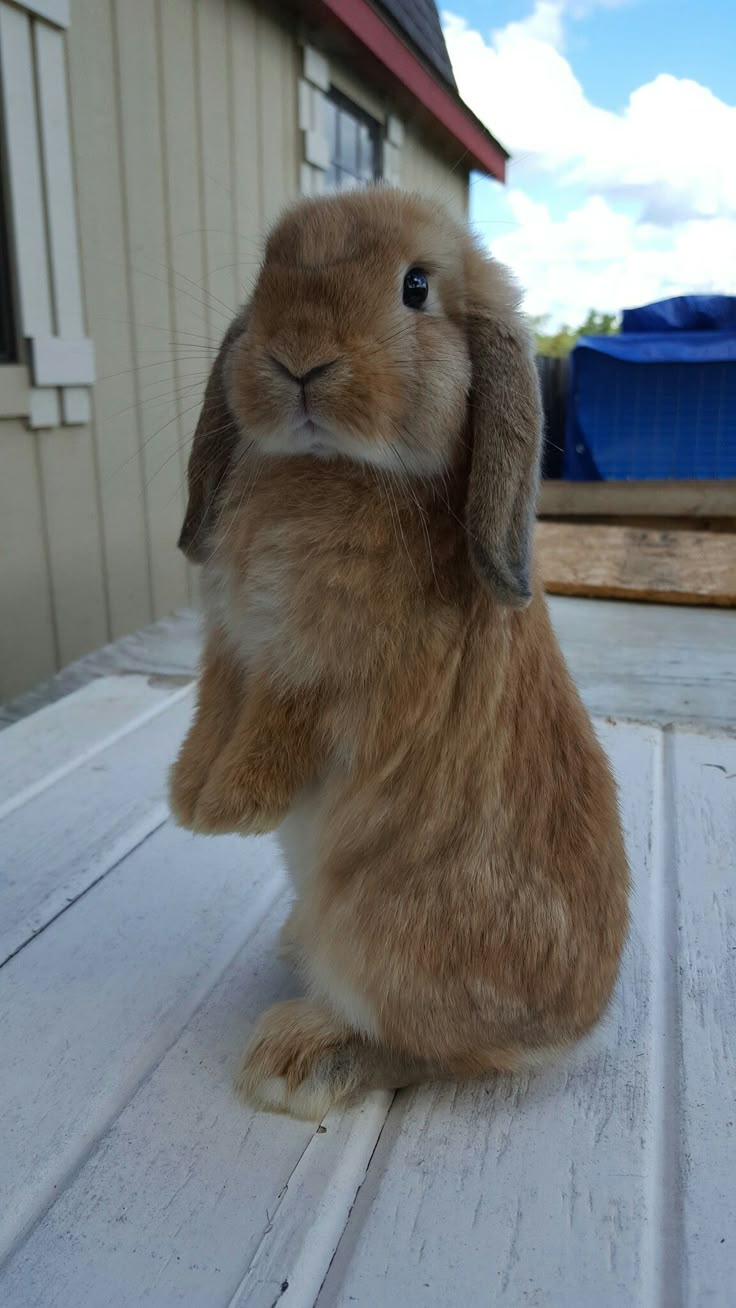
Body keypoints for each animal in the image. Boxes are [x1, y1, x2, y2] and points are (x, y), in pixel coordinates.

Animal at [169, 187, 630, 1124]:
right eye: (264, 277)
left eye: (416, 287)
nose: (298, 359)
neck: (330, 469)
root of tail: (576, 1031)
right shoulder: (230, 646)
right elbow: (212, 710)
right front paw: (189, 799)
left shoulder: (322, 673)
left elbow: (279, 723)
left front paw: (231, 810)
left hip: (379, 930)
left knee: (435, 1053)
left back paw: (301, 1057)